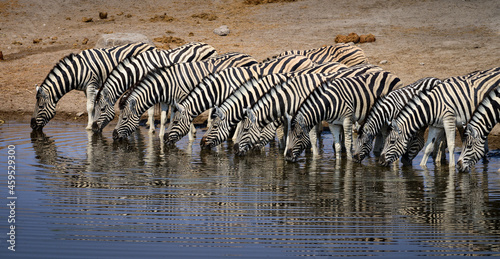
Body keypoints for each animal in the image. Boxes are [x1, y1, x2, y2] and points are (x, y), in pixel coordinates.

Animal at [109, 52, 258, 141]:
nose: (114, 135)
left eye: (124, 118)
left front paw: (191, 136)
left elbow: (186, 117)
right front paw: (161, 136)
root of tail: (250, 57)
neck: (165, 85)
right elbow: (164, 119)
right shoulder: (166, 101)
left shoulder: (182, 98)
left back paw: (234, 138)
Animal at [236, 65, 384, 158]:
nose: (236, 152)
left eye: (245, 130)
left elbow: (307, 135)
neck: (292, 96)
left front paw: (314, 155)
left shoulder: (306, 114)